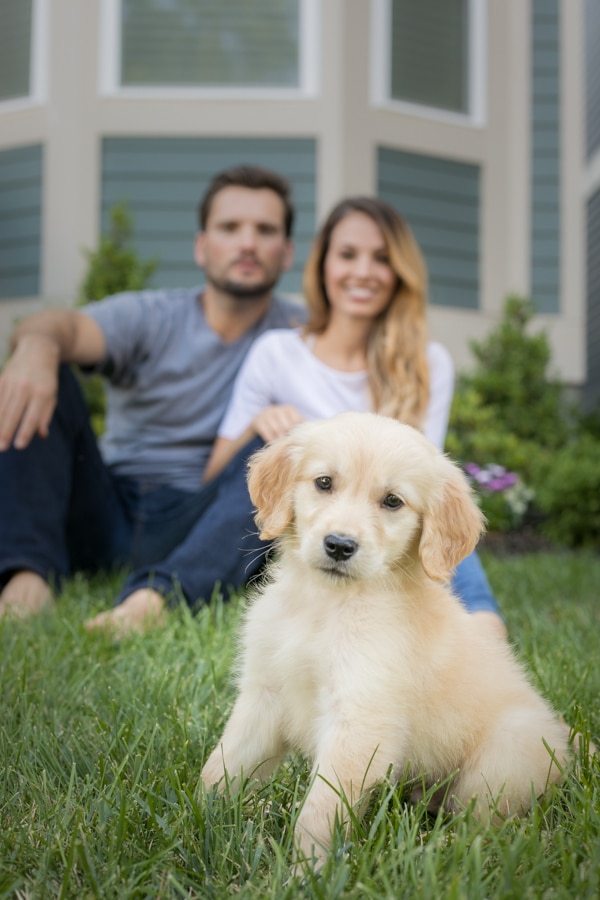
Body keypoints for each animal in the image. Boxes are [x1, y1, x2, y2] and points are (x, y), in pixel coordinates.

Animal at [200, 414, 568, 864]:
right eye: (324, 482)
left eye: (393, 501)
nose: (339, 546)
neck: (326, 604)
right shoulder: (264, 693)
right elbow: (223, 764)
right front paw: (196, 815)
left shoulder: (360, 717)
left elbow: (320, 808)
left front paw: (307, 869)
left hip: (506, 755)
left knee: (485, 824)